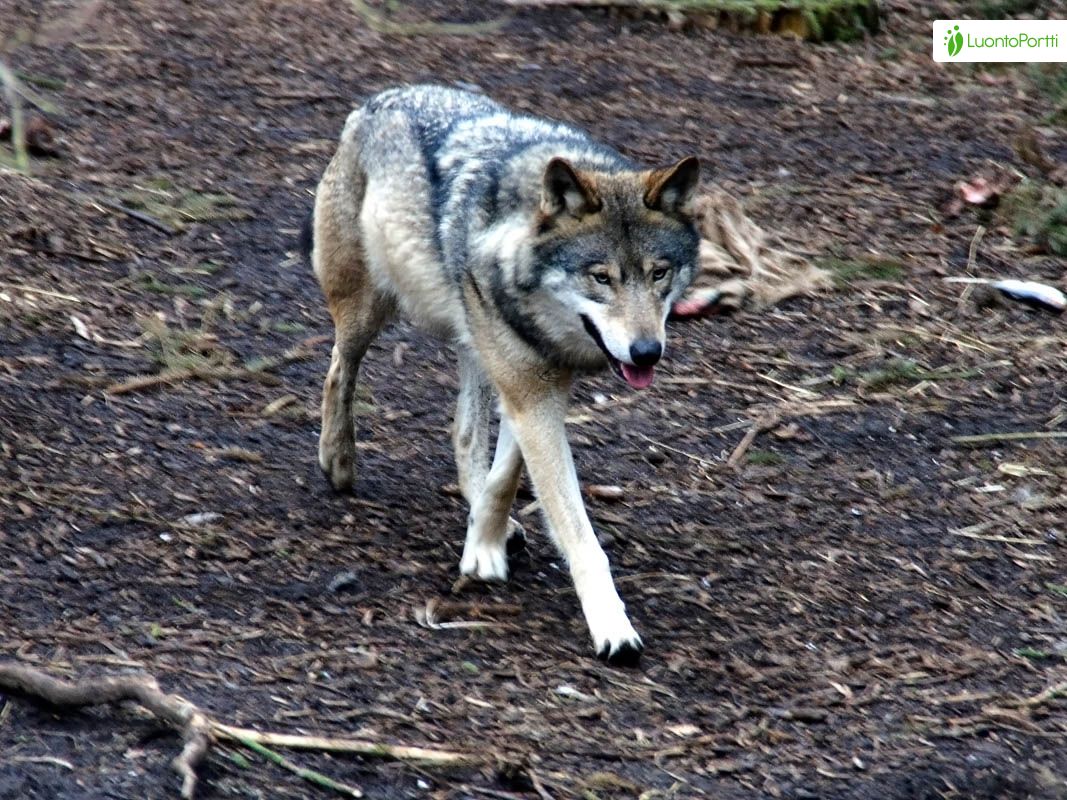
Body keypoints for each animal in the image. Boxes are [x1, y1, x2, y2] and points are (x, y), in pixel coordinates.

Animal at [305, 84, 699, 665]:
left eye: (659, 273)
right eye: (601, 277)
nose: (647, 352)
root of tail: (378, 99)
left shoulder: (540, 385)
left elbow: (506, 473)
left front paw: (483, 543)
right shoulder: (528, 391)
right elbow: (579, 533)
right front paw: (612, 627)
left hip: (474, 347)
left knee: (464, 432)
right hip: (367, 309)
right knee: (338, 368)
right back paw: (338, 459)